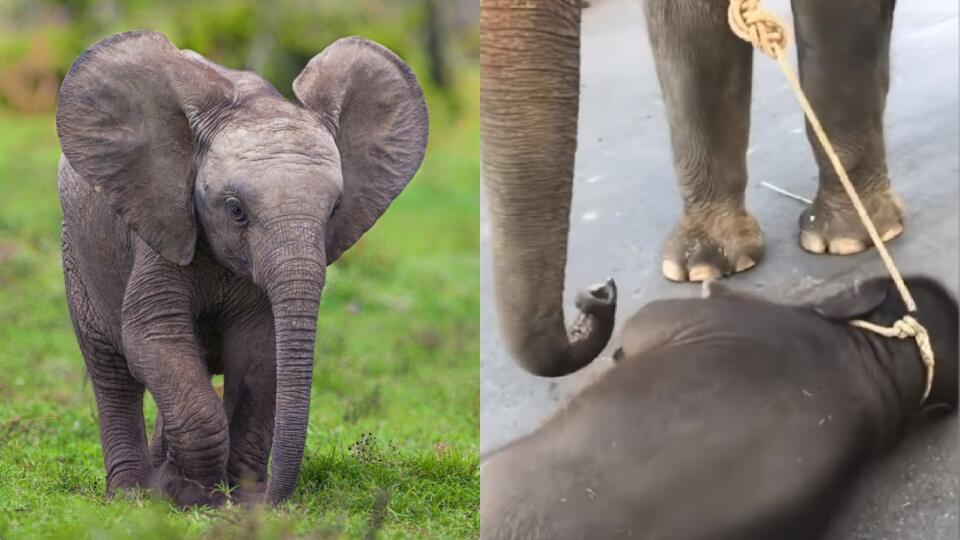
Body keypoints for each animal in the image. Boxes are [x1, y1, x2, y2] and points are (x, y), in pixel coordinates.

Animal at [54, 30, 426, 506]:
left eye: (334, 210)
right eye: (235, 210)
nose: (268, 499)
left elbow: (258, 354)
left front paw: (233, 496)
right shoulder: (161, 227)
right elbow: (153, 336)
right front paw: (194, 495)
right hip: (77, 252)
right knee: (112, 370)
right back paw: (130, 494)